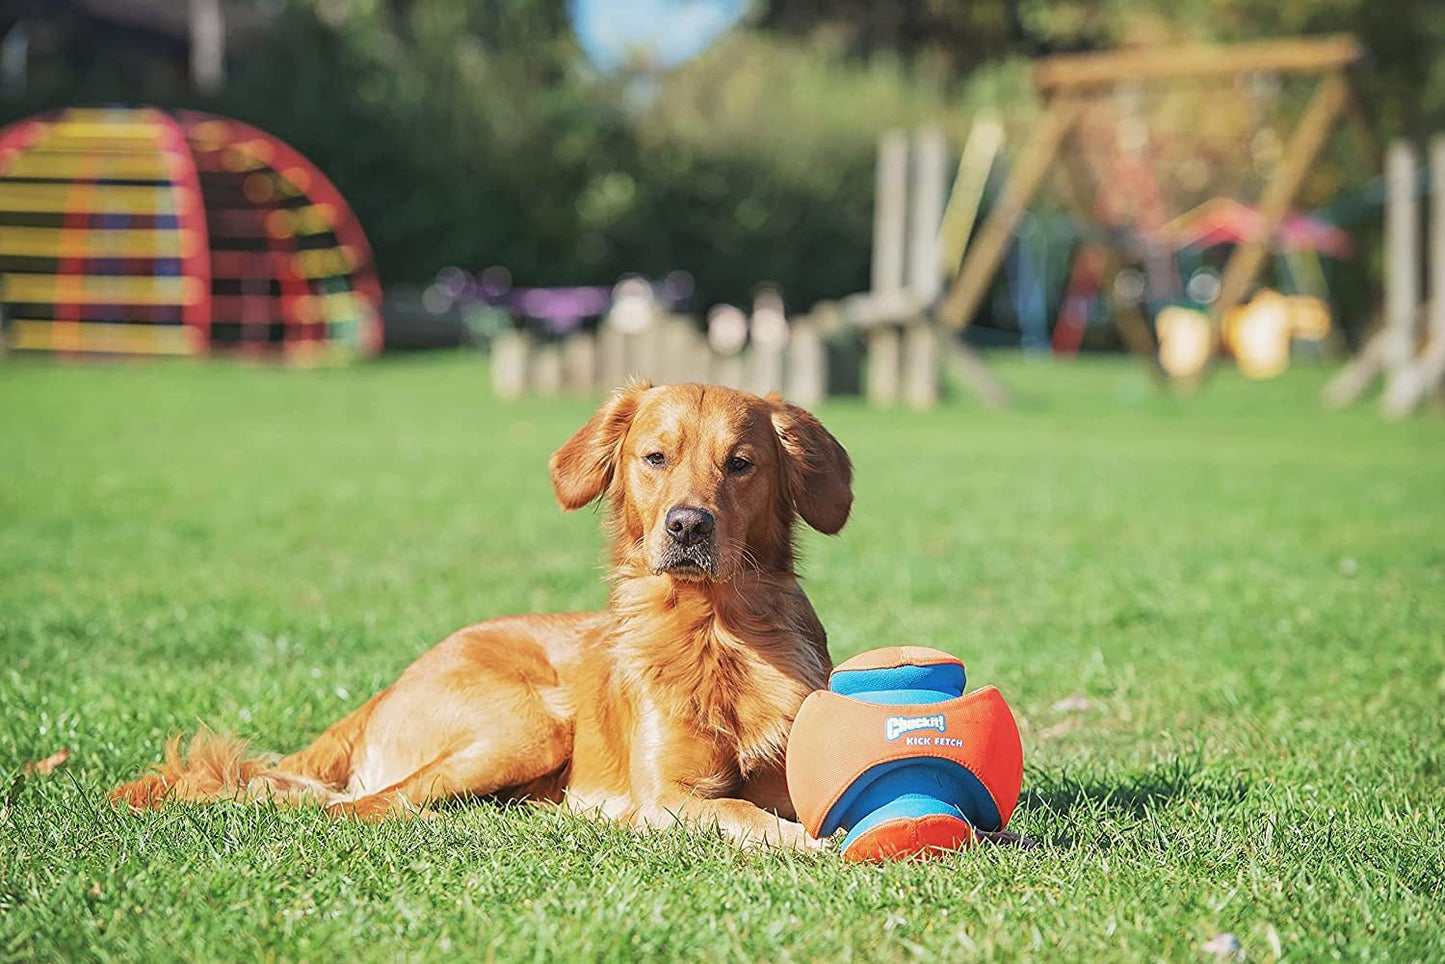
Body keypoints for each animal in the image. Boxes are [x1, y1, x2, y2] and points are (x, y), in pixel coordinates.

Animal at [118, 381, 855, 849]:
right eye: (655, 457)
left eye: (741, 463)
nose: (688, 525)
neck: (714, 630)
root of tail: (391, 684)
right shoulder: (668, 796)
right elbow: (741, 814)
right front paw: (811, 841)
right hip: (529, 724)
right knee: (364, 806)